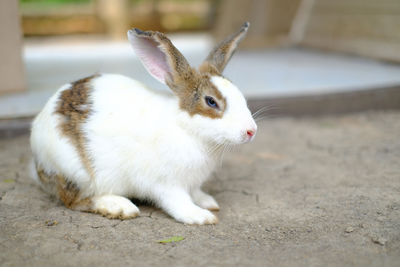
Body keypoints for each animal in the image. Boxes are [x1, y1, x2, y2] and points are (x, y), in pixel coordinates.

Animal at [30, 22, 256, 225]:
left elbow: (195, 193)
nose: (251, 131)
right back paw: (119, 207)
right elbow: (178, 202)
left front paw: (208, 202)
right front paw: (200, 216)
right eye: (211, 101)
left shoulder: (191, 183)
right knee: (73, 201)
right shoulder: (166, 184)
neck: (186, 129)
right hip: (76, 171)